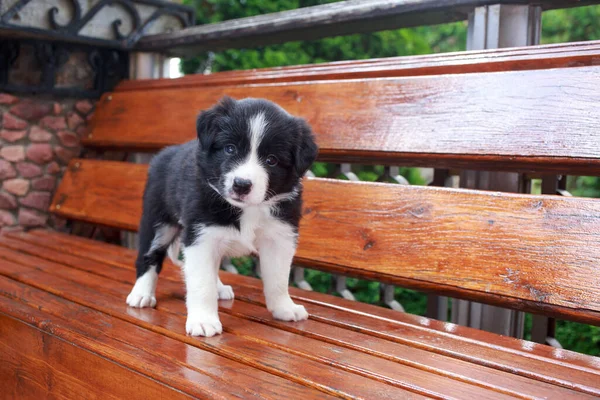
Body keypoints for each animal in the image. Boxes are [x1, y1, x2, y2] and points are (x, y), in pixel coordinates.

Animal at [126, 97, 318, 338]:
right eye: (230, 148)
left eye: (271, 160)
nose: (242, 185)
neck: (247, 210)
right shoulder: (200, 235)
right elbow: (201, 282)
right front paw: (203, 321)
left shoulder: (280, 236)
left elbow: (278, 278)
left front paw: (284, 308)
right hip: (158, 220)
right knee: (149, 255)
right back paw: (141, 293)